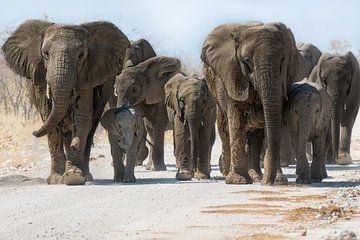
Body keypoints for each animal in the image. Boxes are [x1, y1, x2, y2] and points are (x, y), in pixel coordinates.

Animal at [2, 20, 130, 186]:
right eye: (46, 54)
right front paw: (56, 180)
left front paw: (74, 176)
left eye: (81, 55)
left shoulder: (86, 75)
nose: (34, 132)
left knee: (90, 127)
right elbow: (49, 118)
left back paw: (86, 174)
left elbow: (82, 117)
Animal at [200, 22, 306, 185]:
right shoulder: (232, 77)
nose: (266, 183)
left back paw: (256, 176)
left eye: (282, 59)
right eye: (246, 60)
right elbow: (236, 123)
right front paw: (238, 181)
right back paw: (227, 172)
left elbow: (271, 124)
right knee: (225, 129)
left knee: (256, 135)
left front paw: (279, 181)